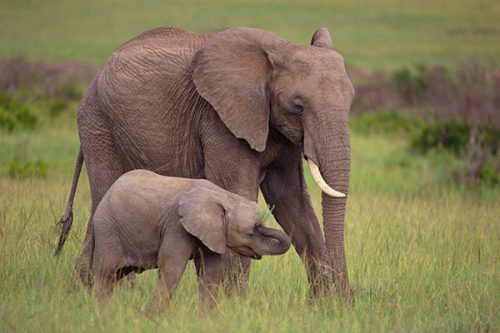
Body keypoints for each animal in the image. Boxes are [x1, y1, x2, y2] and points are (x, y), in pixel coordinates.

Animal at [92, 170, 292, 308]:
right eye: (250, 232)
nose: (263, 220)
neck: (223, 196)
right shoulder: (176, 225)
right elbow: (172, 267)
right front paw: (150, 316)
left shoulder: (212, 232)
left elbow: (211, 271)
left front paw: (205, 318)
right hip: (107, 230)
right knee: (105, 275)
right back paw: (103, 312)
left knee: (116, 275)